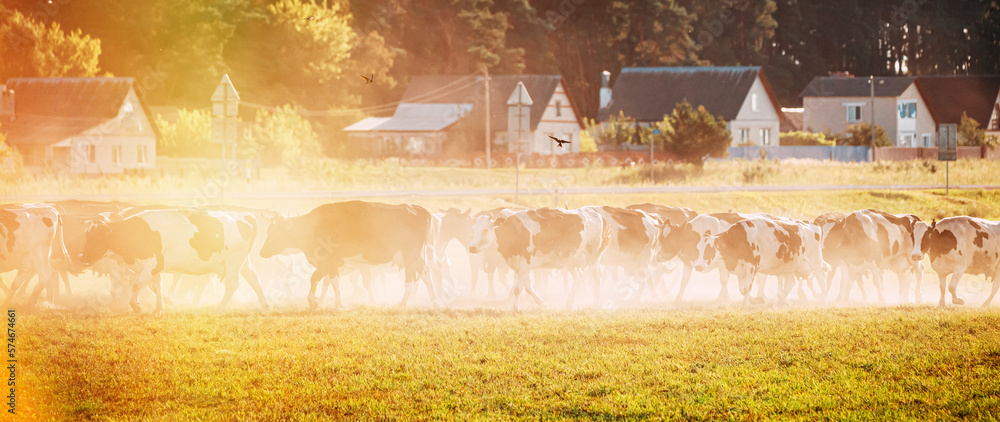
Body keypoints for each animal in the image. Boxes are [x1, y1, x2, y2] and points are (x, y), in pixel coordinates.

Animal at [81, 209, 270, 314]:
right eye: (86, 235)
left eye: (95, 238)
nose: (81, 257)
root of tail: (243, 215)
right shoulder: (153, 268)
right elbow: (156, 286)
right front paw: (159, 308)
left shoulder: (153, 264)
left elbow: (137, 284)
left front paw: (136, 306)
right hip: (242, 263)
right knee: (254, 278)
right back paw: (265, 304)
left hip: (233, 262)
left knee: (232, 285)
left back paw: (219, 308)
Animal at [258, 199, 438, 308]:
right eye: (268, 231)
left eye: (275, 233)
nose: (261, 251)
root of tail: (417, 209)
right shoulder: (333, 264)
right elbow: (334, 281)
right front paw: (338, 304)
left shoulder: (331, 260)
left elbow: (315, 277)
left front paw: (313, 302)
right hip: (415, 257)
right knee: (425, 272)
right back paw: (434, 302)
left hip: (410, 255)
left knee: (412, 279)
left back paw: (403, 303)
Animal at [468, 208, 608, 310]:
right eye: (473, 230)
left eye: (485, 230)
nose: (472, 247)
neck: (514, 232)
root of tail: (594, 214)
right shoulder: (519, 266)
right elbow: (528, 287)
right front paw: (542, 303)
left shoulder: (525, 263)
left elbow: (518, 288)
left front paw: (514, 308)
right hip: (570, 261)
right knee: (578, 278)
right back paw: (569, 303)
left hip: (593, 257)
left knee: (596, 279)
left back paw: (595, 304)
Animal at [692, 218, 824, 304]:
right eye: (698, 248)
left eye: (709, 249)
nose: (698, 266)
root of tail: (811, 223)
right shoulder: (741, 269)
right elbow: (742, 289)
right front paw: (754, 300)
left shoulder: (752, 266)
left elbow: (746, 288)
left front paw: (746, 304)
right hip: (791, 267)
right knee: (790, 282)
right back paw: (782, 300)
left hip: (816, 263)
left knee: (821, 279)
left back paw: (824, 299)